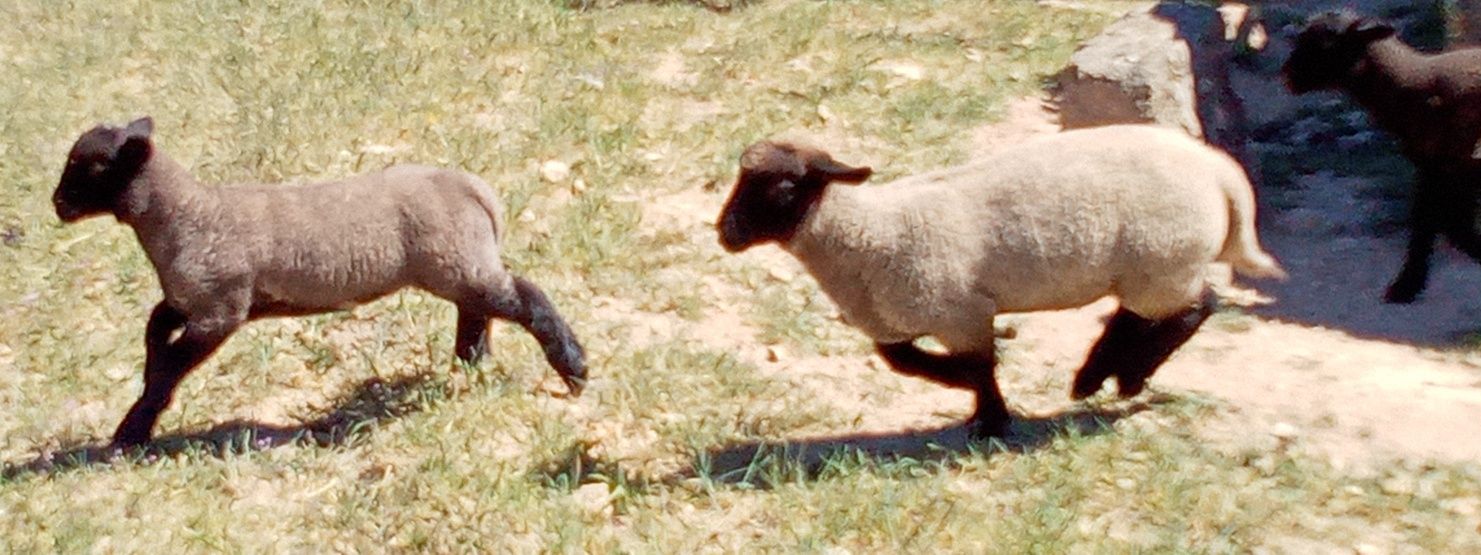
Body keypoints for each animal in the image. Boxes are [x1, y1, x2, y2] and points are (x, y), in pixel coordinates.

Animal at [52, 117, 583, 446]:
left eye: (90, 165)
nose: (57, 205)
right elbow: (154, 334)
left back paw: (573, 367)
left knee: (524, 297)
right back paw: (472, 364)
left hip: (455, 262)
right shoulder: (186, 300)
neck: (183, 216)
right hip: (459, 264)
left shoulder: (219, 310)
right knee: (477, 310)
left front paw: (132, 429)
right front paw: (142, 404)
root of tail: (474, 189)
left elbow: (169, 367)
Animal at [716, 125, 1285, 438]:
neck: (870, 232)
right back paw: (1100, 376)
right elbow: (902, 361)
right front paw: (979, 403)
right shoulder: (899, 321)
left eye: (783, 186)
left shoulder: (960, 311)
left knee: (1199, 307)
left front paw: (990, 417)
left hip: (1165, 262)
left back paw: (1123, 376)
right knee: (1140, 315)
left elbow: (978, 366)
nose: (726, 232)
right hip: (1149, 269)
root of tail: (1220, 171)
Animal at [1279, 9, 1481, 304]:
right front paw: (1408, 285)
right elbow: (1437, 223)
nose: (1288, 76)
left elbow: (1437, 223)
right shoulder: (1439, 167)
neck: (1411, 86)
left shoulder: (1445, 164)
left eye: (1328, 43)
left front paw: (1404, 287)